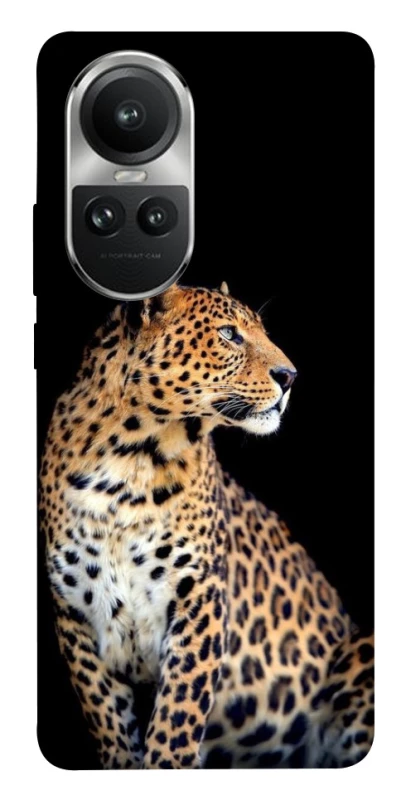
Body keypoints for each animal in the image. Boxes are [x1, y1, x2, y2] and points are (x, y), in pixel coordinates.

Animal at [39, 281, 374, 769]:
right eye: (229, 334)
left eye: (261, 331)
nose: (290, 376)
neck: (129, 460)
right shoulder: (75, 616)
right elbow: (111, 725)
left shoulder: (200, 598)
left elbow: (175, 722)